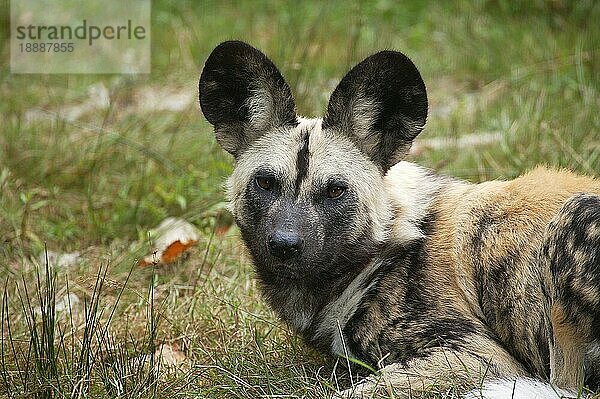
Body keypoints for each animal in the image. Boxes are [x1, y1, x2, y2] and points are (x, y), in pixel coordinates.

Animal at [199, 41, 600, 399]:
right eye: (266, 183)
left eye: (335, 191)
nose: (284, 244)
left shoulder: (481, 358)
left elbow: (356, 392)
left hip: (574, 216)